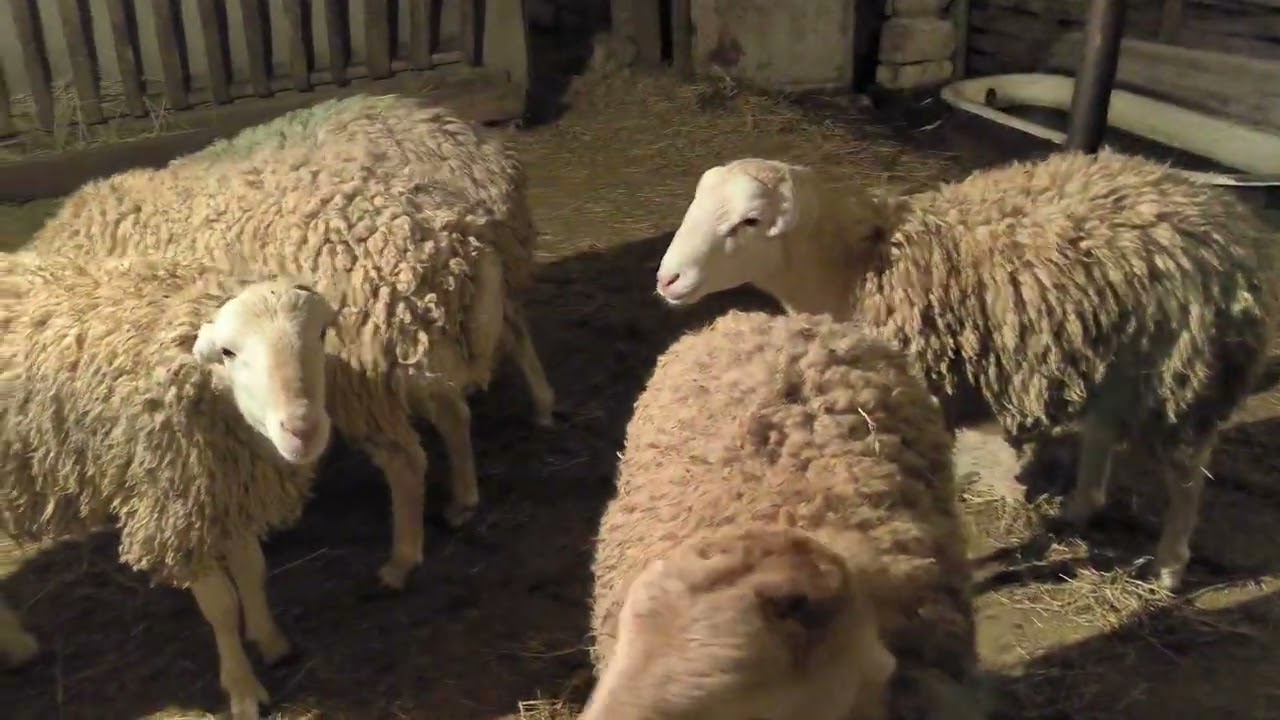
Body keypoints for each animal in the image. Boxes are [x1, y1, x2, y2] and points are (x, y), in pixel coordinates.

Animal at [1, 251, 337, 719]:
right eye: (228, 352)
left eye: (321, 333)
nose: (303, 430)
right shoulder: (176, 506)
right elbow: (221, 606)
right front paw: (242, 687)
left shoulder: (228, 489)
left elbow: (253, 571)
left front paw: (271, 642)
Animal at [27, 96, 556, 590]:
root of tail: (453, 241)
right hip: (423, 341)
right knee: (471, 389)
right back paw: (479, 481)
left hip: (366, 375)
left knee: (407, 458)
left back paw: (400, 561)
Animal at [653, 149, 1278, 591]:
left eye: (750, 221)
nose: (667, 280)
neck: (858, 266)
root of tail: (1225, 217)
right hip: (1116, 356)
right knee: (1103, 428)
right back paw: (1081, 508)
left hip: (1184, 373)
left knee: (1187, 475)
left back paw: (1170, 566)